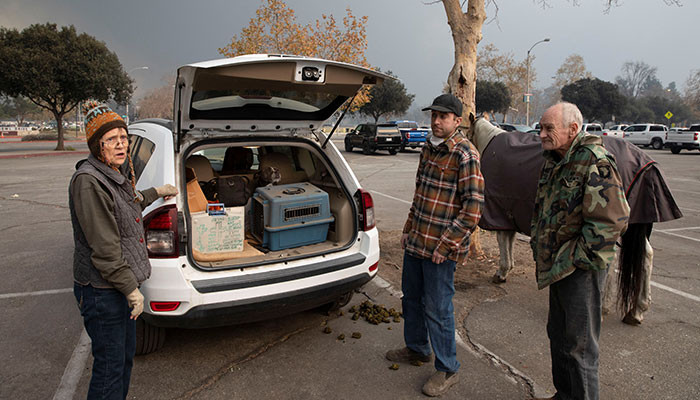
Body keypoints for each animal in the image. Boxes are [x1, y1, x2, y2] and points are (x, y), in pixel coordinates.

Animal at [468, 113, 680, 324]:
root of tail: (644, 162)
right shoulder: (509, 214)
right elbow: (509, 243)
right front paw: (507, 269)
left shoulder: (500, 213)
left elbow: (503, 244)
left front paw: (501, 273)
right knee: (646, 256)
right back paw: (636, 311)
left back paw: (606, 306)